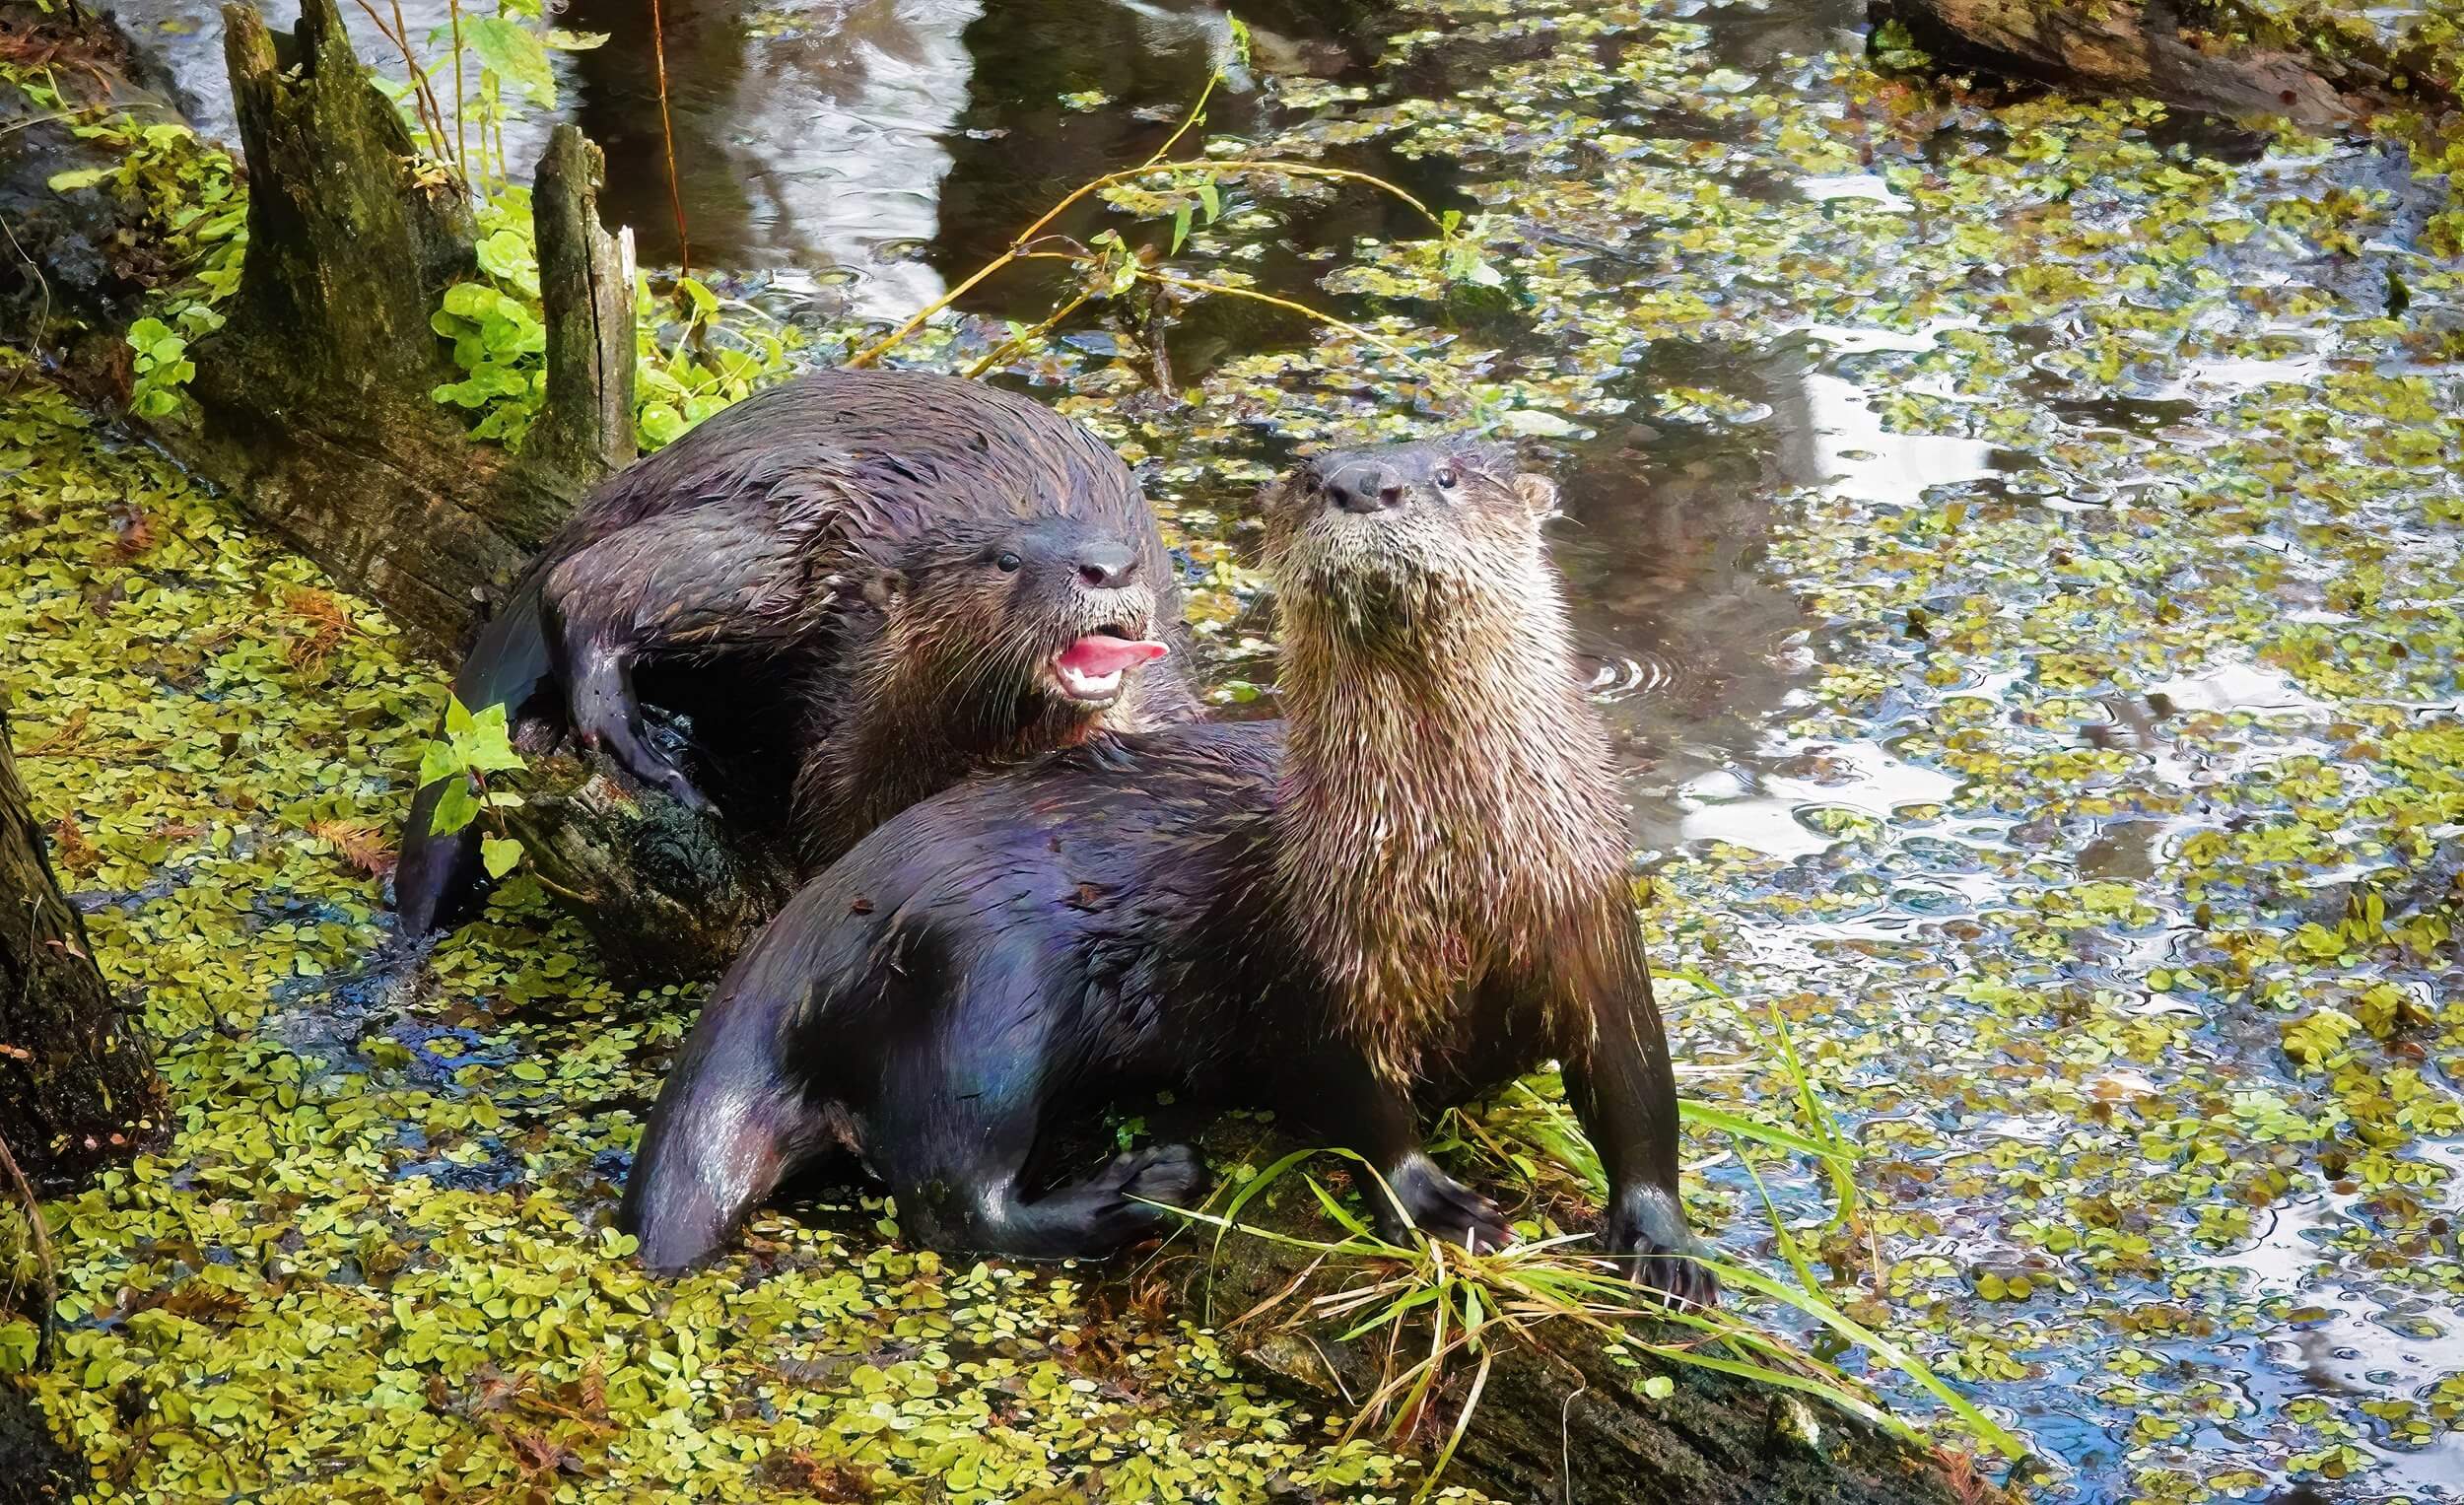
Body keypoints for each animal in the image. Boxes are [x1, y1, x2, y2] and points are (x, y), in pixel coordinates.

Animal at [389, 367, 1198, 930]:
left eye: (1126, 548)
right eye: (1005, 560)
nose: (1108, 566)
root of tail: (644, 473)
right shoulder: (844, 763)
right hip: (783, 527)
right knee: (584, 586)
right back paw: (640, 748)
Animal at [616, 438, 1715, 1310]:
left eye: (1444, 476)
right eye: (1311, 476)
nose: (1362, 485)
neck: (1456, 869)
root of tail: (815, 917)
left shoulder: (1593, 919)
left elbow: (1638, 1090)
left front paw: (1667, 1245)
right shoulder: (1324, 961)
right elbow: (1356, 1100)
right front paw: (1431, 1200)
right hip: (983, 1002)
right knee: (948, 1195)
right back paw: (1142, 1183)